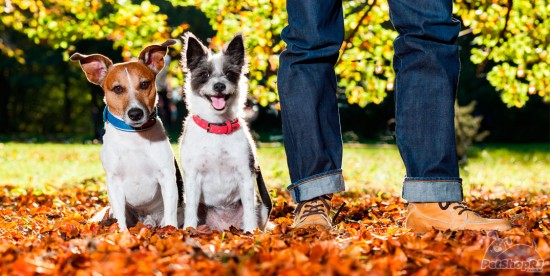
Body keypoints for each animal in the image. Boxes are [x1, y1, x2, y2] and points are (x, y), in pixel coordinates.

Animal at [70, 39, 183, 229]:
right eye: (117, 89)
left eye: (144, 84)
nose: (135, 113)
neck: (134, 136)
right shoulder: (114, 182)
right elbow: (121, 219)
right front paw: (122, 233)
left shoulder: (167, 176)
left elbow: (170, 214)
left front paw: (172, 231)